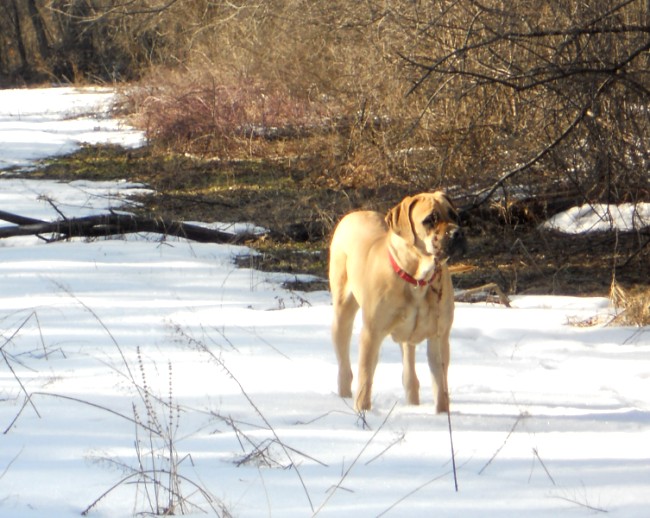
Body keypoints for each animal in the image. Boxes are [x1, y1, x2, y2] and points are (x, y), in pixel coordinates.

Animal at [326, 193, 464, 416]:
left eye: (454, 215)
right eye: (430, 219)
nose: (457, 233)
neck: (417, 278)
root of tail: (353, 214)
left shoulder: (439, 336)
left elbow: (440, 384)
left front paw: (442, 416)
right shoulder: (371, 333)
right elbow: (366, 377)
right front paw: (363, 413)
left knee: (410, 374)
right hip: (342, 314)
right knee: (345, 367)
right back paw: (345, 396)